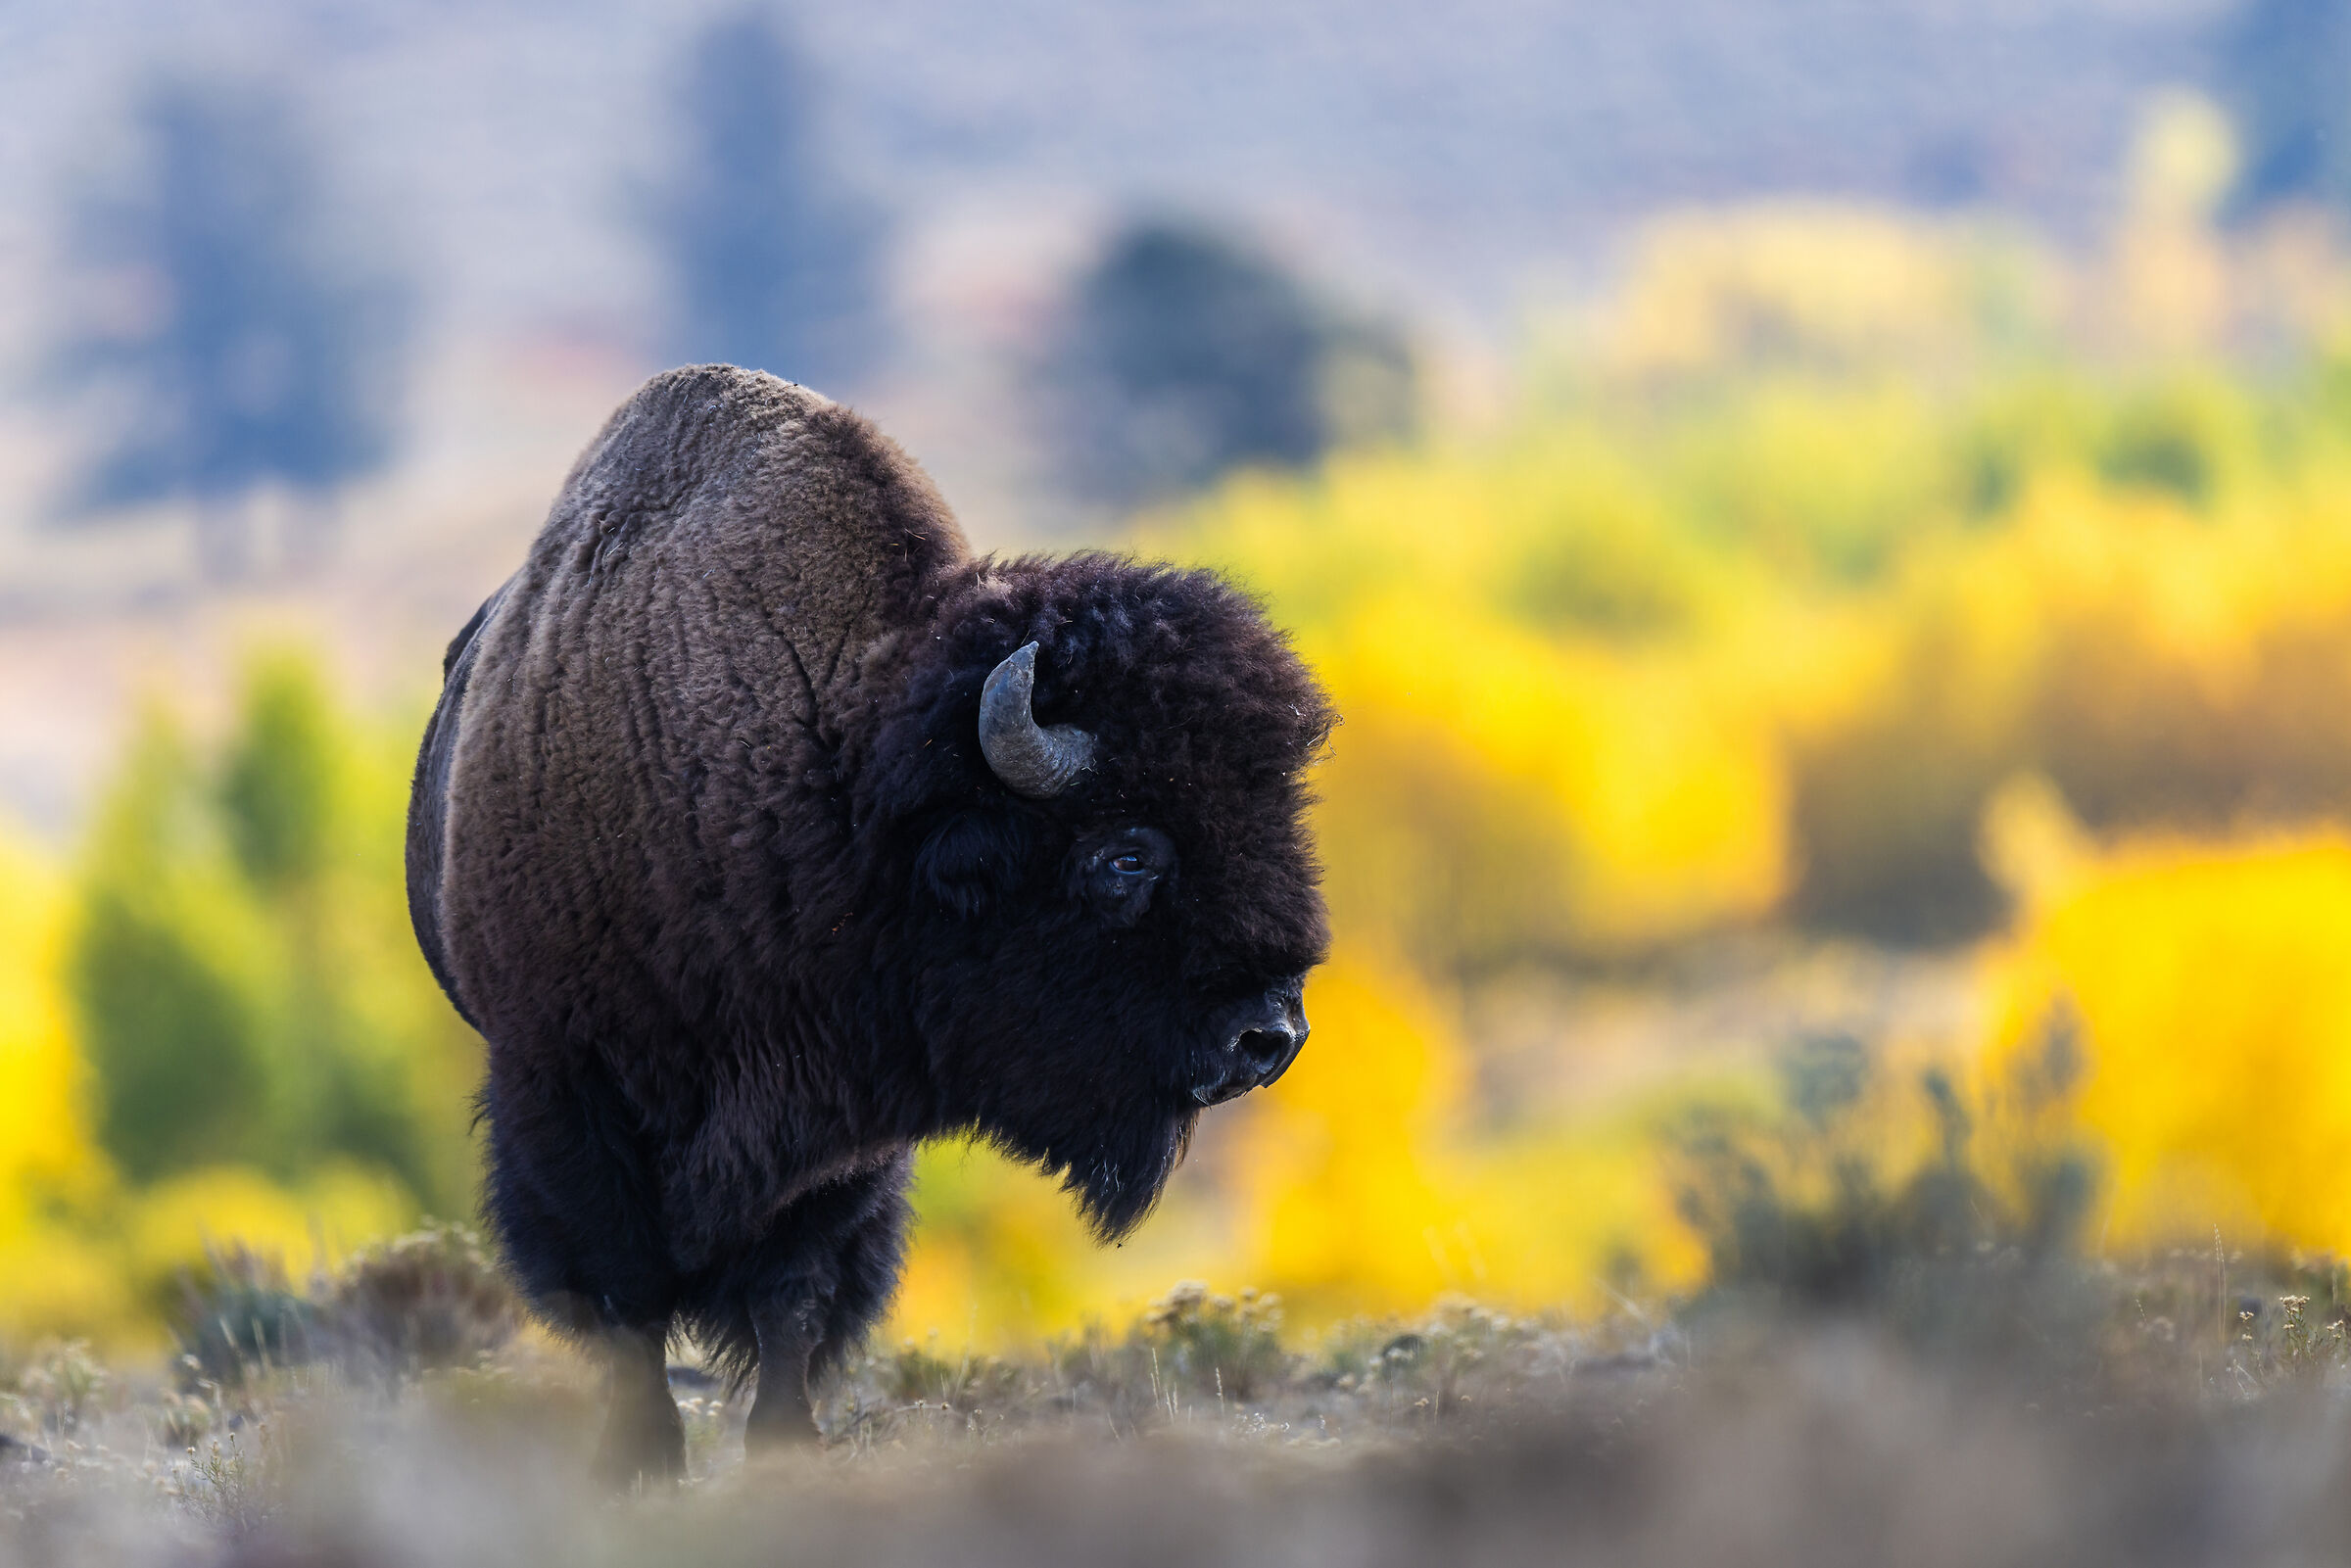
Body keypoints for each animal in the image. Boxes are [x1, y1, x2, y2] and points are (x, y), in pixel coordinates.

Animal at [406, 366, 1332, 1481]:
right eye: (1126, 853)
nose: (1270, 1036)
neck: (836, 781)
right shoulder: (563, 1087)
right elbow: (626, 1291)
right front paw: (640, 1456)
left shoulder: (845, 1131)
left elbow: (795, 1292)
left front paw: (784, 1443)